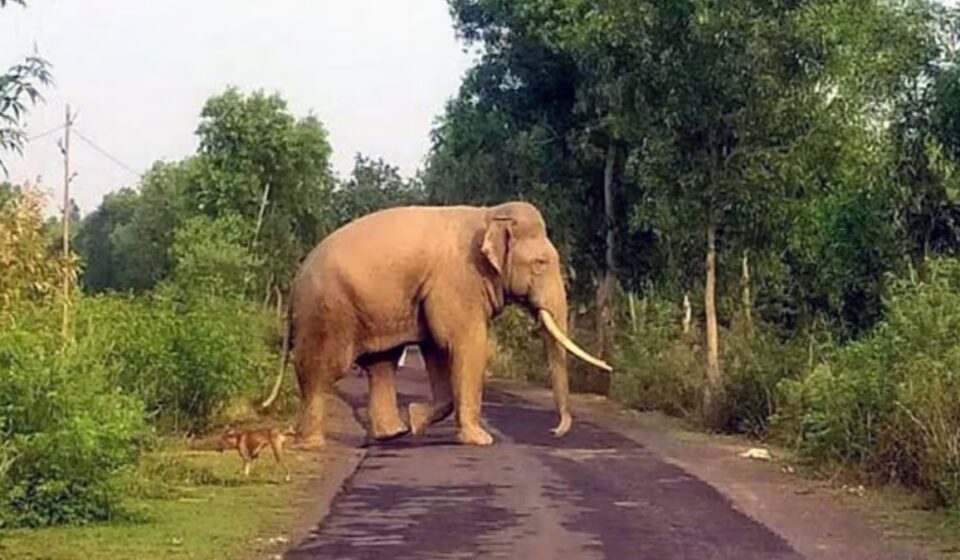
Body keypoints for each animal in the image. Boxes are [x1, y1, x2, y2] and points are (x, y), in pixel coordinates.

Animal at [261, 201, 611, 448]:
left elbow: (437, 348)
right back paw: (311, 444)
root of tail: (295, 283)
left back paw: (394, 433)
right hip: (327, 311)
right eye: (541, 263)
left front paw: (416, 420)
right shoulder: (458, 280)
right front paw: (480, 440)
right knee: (322, 370)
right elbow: (465, 343)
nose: (554, 431)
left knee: (381, 364)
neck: (489, 215)